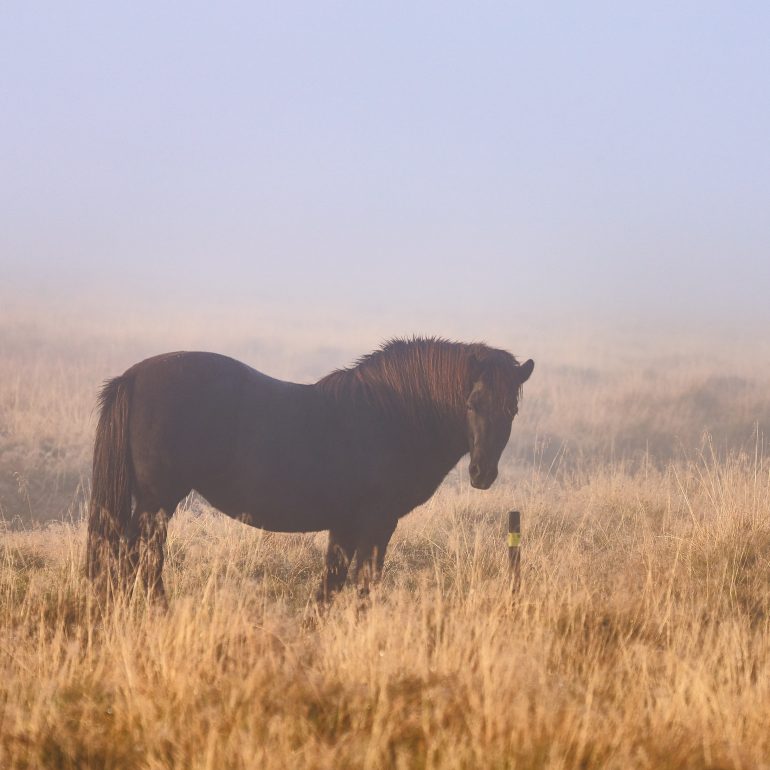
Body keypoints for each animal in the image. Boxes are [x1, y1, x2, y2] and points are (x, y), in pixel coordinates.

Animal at [86, 337, 534, 604]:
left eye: (513, 410)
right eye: (472, 403)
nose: (482, 474)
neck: (393, 414)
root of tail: (133, 376)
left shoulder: (346, 524)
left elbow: (332, 582)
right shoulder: (378, 522)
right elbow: (363, 580)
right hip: (157, 502)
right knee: (141, 557)